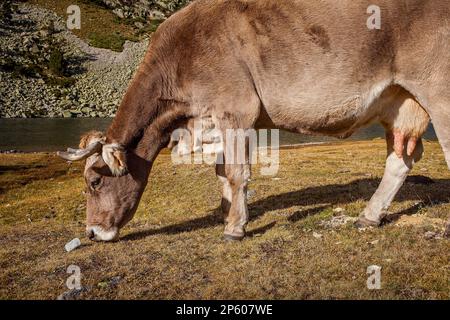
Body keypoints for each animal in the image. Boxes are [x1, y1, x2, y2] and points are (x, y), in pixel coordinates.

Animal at [58, 0, 448, 240]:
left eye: (93, 181)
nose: (91, 232)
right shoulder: (214, 116)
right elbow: (221, 171)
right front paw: (227, 211)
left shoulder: (236, 107)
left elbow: (236, 172)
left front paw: (234, 228)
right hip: (400, 102)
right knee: (400, 159)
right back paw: (369, 215)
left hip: (439, 92)